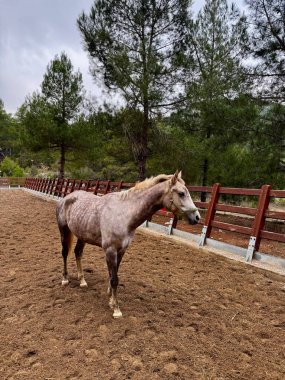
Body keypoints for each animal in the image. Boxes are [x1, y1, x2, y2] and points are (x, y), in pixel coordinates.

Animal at [55, 171, 200, 318]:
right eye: (181, 193)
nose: (197, 217)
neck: (124, 215)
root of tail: (66, 197)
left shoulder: (121, 250)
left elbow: (113, 275)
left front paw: (111, 300)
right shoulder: (110, 250)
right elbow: (114, 279)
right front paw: (116, 309)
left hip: (82, 236)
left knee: (77, 253)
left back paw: (82, 281)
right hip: (64, 231)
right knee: (65, 253)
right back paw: (65, 279)